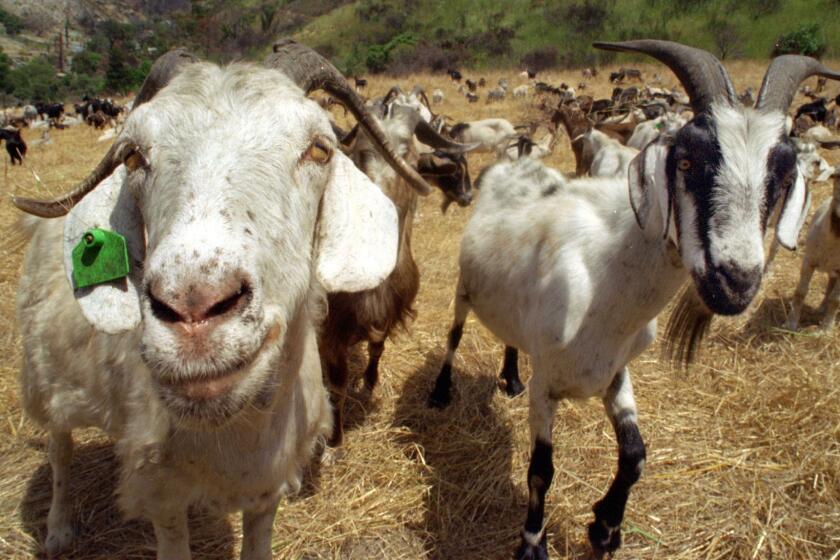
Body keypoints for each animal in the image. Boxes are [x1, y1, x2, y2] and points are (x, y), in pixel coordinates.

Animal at [13, 42, 436, 560]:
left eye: (320, 148)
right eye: (132, 155)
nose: (193, 309)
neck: (231, 433)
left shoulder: (267, 488)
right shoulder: (162, 497)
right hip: (42, 375)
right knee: (59, 447)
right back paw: (57, 528)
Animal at [430, 40, 836, 560]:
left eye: (783, 179)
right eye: (686, 162)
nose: (736, 280)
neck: (607, 286)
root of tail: (512, 164)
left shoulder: (615, 373)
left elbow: (636, 456)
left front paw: (605, 528)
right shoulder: (548, 385)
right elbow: (541, 470)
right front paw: (532, 543)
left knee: (510, 337)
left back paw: (511, 377)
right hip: (465, 286)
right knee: (454, 332)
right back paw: (440, 391)